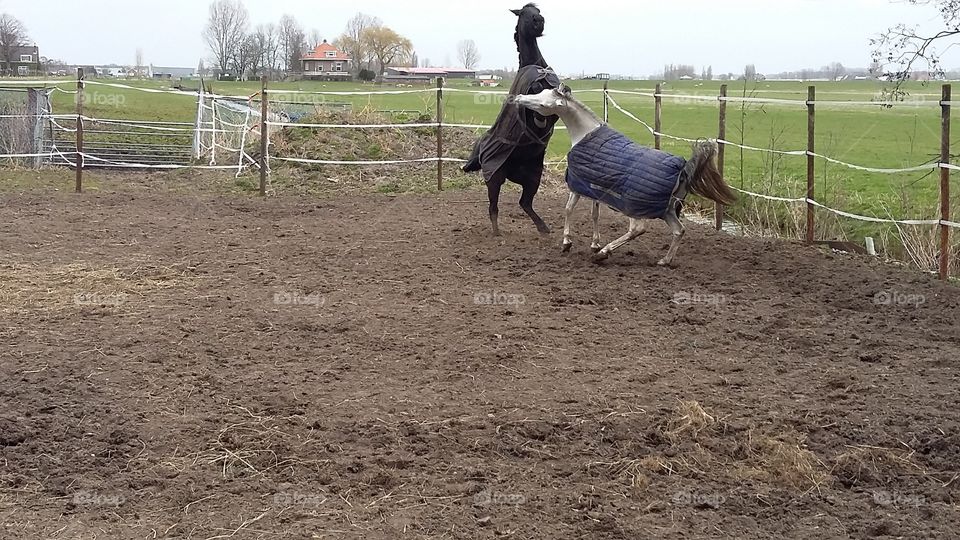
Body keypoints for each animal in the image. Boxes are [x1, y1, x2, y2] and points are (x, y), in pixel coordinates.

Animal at [462, 3, 558, 236]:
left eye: (537, 11)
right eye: (524, 14)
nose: (539, 21)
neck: (535, 67)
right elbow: (536, 100)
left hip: (533, 177)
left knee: (525, 203)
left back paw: (543, 228)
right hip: (495, 179)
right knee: (493, 208)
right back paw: (497, 233)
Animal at [512, 84, 737, 266]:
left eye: (543, 100)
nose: (517, 98)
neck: (584, 134)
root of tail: (683, 168)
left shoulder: (577, 186)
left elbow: (568, 209)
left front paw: (568, 243)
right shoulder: (596, 188)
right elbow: (594, 214)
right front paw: (594, 243)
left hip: (635, 207)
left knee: (638, 229)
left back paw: (604, 253)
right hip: (667, 210)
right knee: (678, 230)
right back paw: (664, 261)